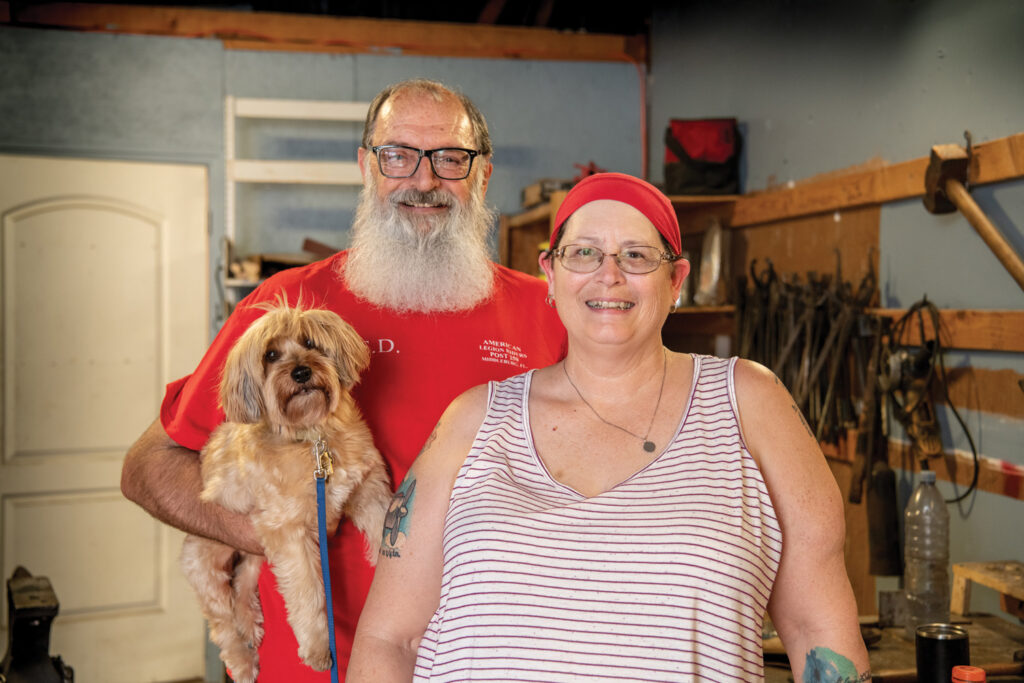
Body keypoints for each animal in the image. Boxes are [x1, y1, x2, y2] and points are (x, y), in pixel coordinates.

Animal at [180, 301, 391, 679]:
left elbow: (386, 525)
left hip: (254, 549)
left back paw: (250, 625)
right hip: (207, 562)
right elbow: (308, 590)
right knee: (221, 619)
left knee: (243, 585)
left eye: (309, 342)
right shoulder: (290, 531)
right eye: (271, 355)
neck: (313, 438)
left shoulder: (368, 488)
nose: (301, 372)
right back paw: (242, 661)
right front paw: (318, 648)